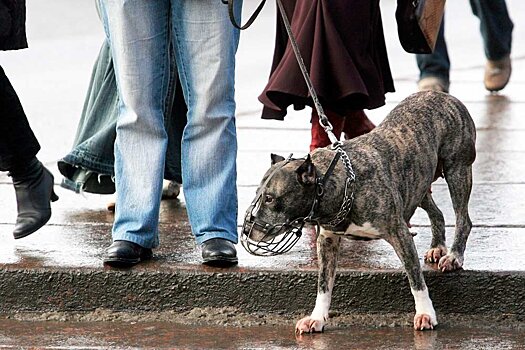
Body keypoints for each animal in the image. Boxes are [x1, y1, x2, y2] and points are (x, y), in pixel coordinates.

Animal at [242, 90, 474, 330]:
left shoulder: (399, 234)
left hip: (457, 169)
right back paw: (437, 246)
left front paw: (426, 313)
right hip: (416, 183)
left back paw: (454, 255)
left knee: (463, 218)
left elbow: (415, 278)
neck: (342, 181)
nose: (248, 228)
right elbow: (324, 284)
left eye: (270, 198)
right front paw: (317, 317)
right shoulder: (327, 240)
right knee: (436, 211)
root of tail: (442, 95)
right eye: (258, 194)